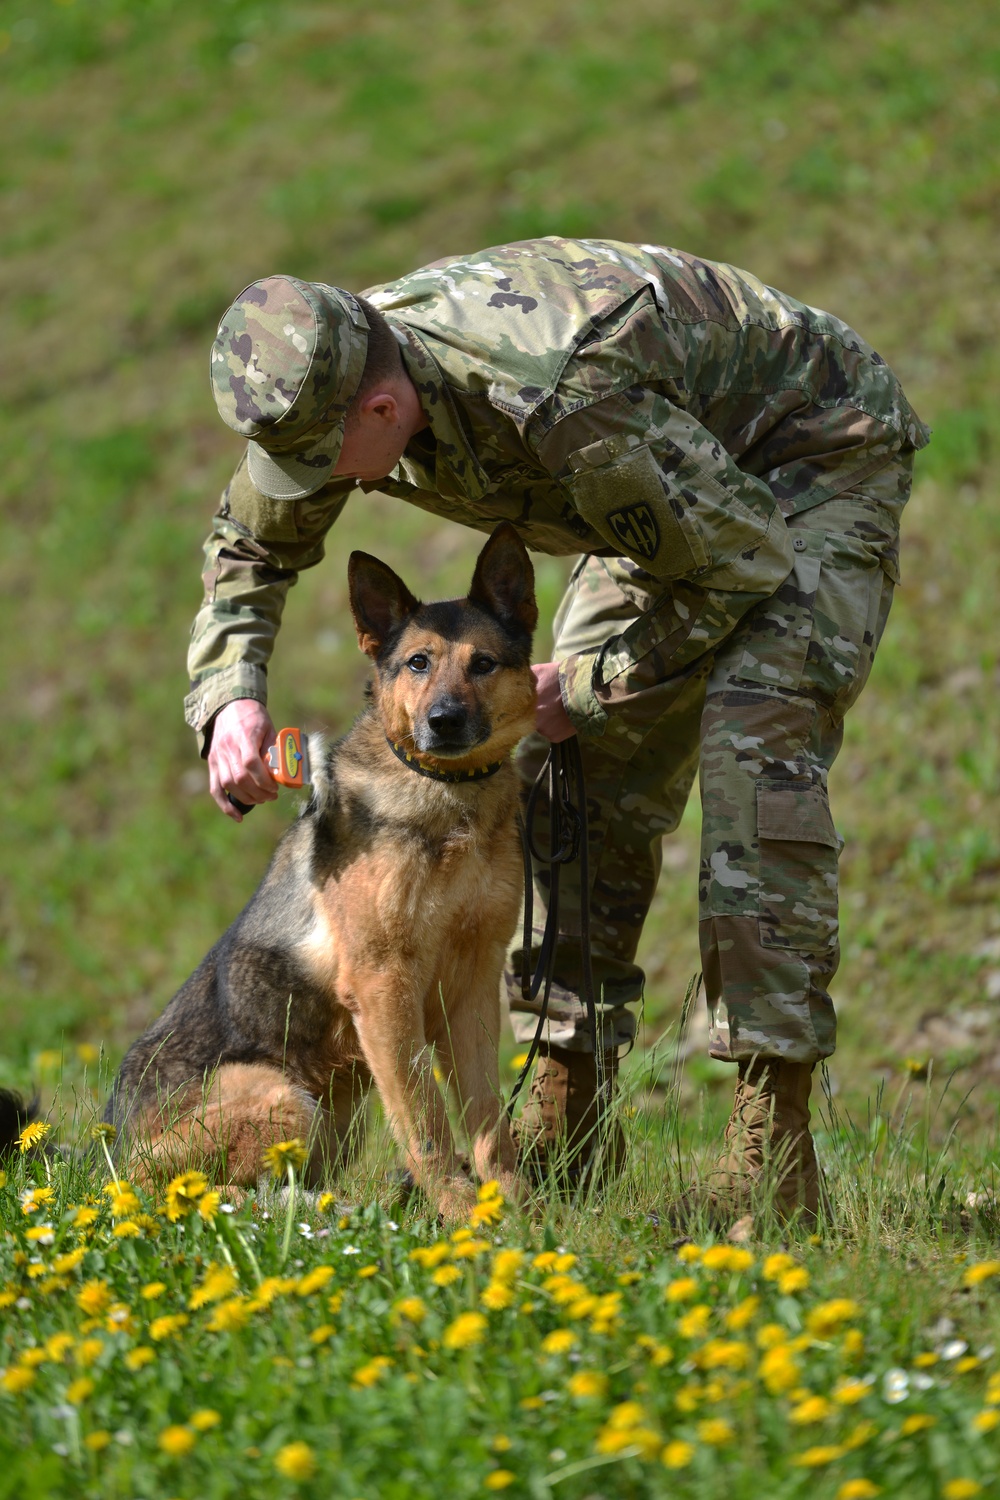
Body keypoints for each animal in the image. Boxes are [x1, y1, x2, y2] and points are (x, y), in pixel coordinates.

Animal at [102, 525, 539, 1218]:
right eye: (418, 663)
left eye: (483, 664)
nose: (443, 721)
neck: (447, 796)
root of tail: (111, 1153)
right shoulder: (385, 988)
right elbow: (426, 1121)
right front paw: (461, 1213)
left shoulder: (472, 986)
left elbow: (487, 1116)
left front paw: (515, 1208)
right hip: (283, 1100)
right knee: (192, 1196)